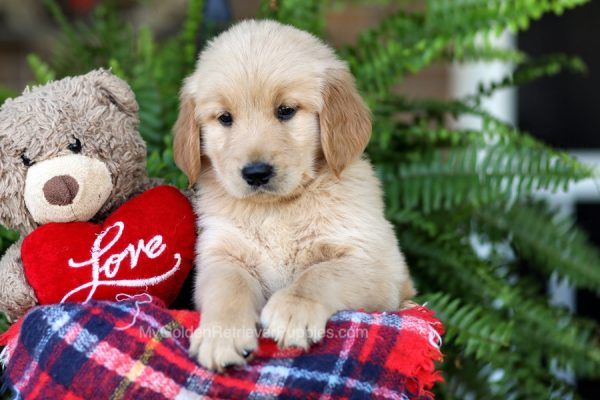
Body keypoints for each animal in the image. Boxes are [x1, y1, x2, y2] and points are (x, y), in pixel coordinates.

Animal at [173, 18, 418, 368]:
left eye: (286, 110)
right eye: (225, 118)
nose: (256, 173)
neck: (276, 209)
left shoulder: (375, 264)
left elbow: (320, 273)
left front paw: (293, 309)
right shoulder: (222, 253)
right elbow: (228, 287)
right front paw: (221, 334)